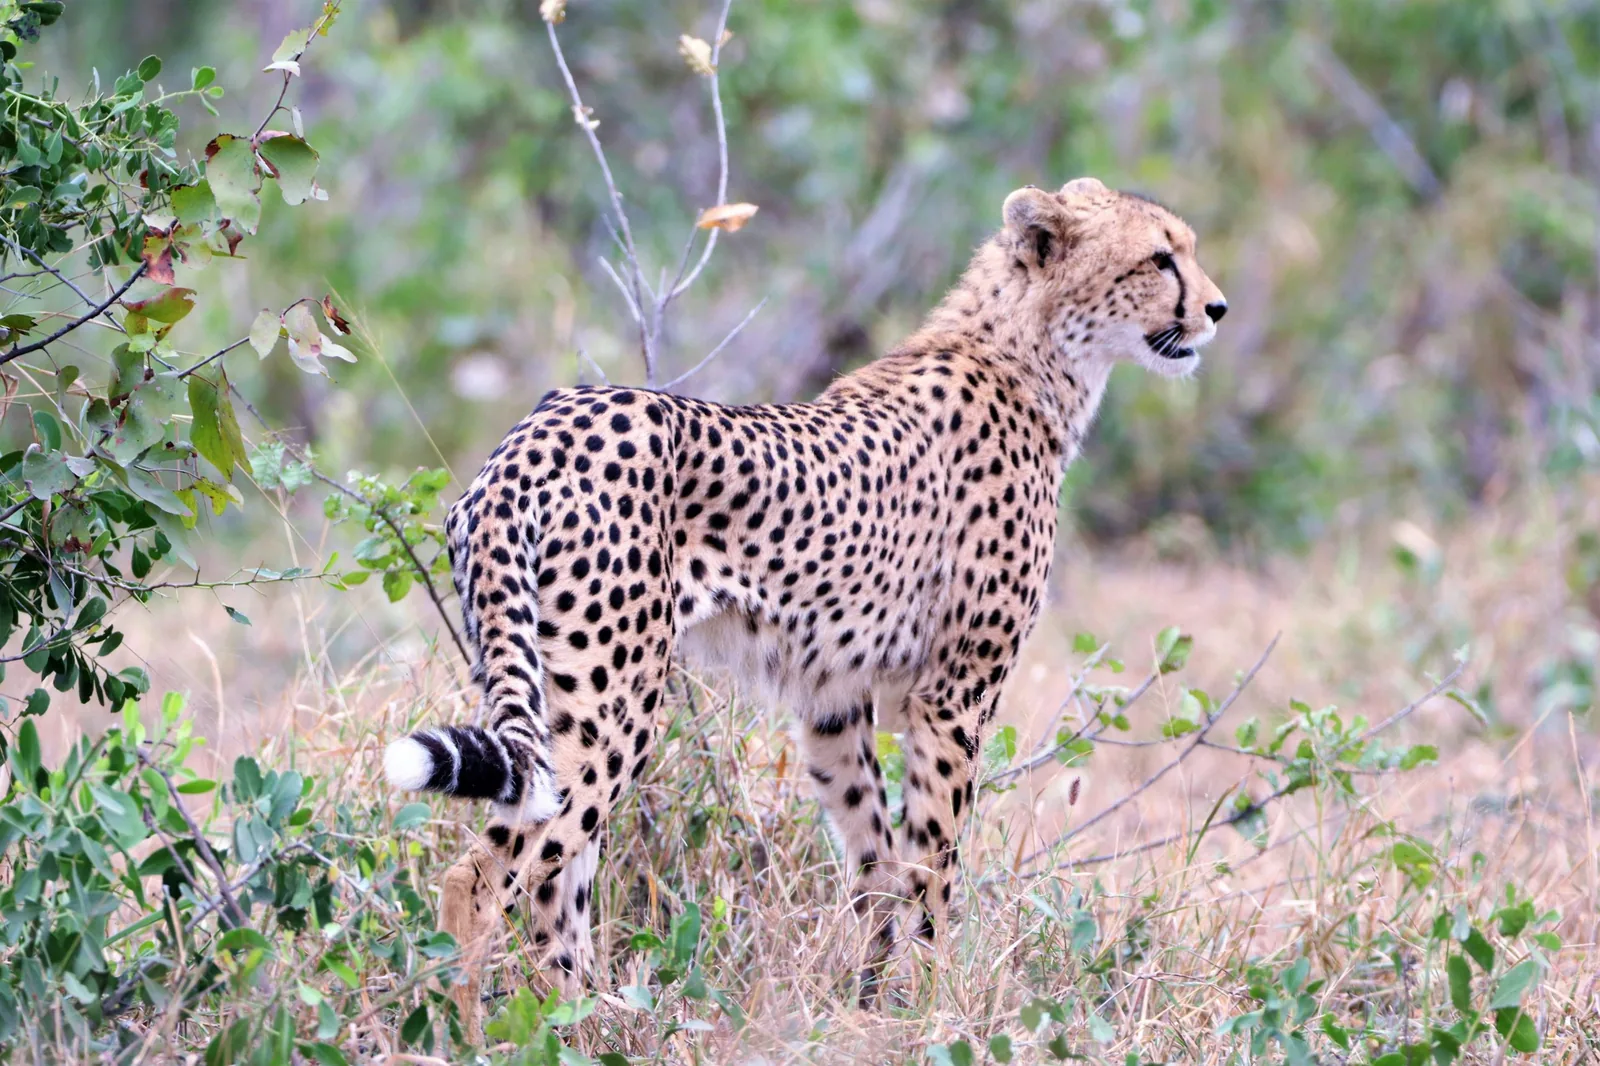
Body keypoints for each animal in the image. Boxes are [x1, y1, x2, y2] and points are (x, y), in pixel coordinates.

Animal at [383, 177, 1227, 1039]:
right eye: (1160, 258)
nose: (1216, 310)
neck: (1029, 354)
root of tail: (529, 435)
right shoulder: (954, 694)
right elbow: (933, 867)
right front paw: (935, 1007)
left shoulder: (833, 701)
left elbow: (876, 863)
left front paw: (869, 1002)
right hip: (611, 701)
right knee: (482, 877)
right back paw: (475, 1033)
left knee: (557, 879)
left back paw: (588, 1021)